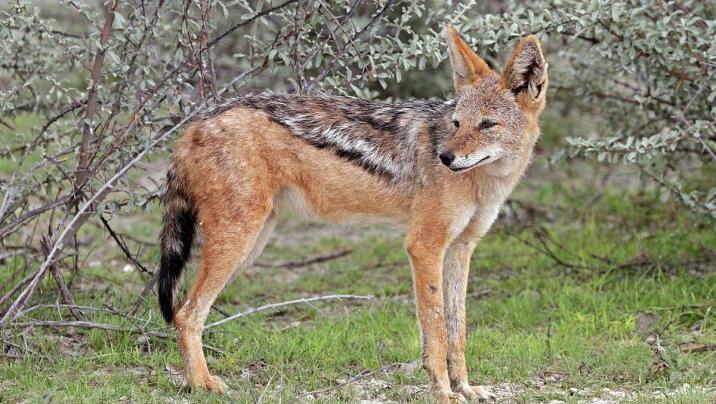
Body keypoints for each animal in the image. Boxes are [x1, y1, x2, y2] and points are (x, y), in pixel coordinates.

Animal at [157, 24, 547, 402]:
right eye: (456, 123)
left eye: (487, 124)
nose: (446, 158)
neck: (485, 184)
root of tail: (193, 125)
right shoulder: (424, 246)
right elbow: (435, 329)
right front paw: (442, 392)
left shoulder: (461, 249)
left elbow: (457, 330)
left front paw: (464, 387)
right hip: (237, 244)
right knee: (186, 313)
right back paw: (201, 384)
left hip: (250, 247)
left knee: (186, 311)